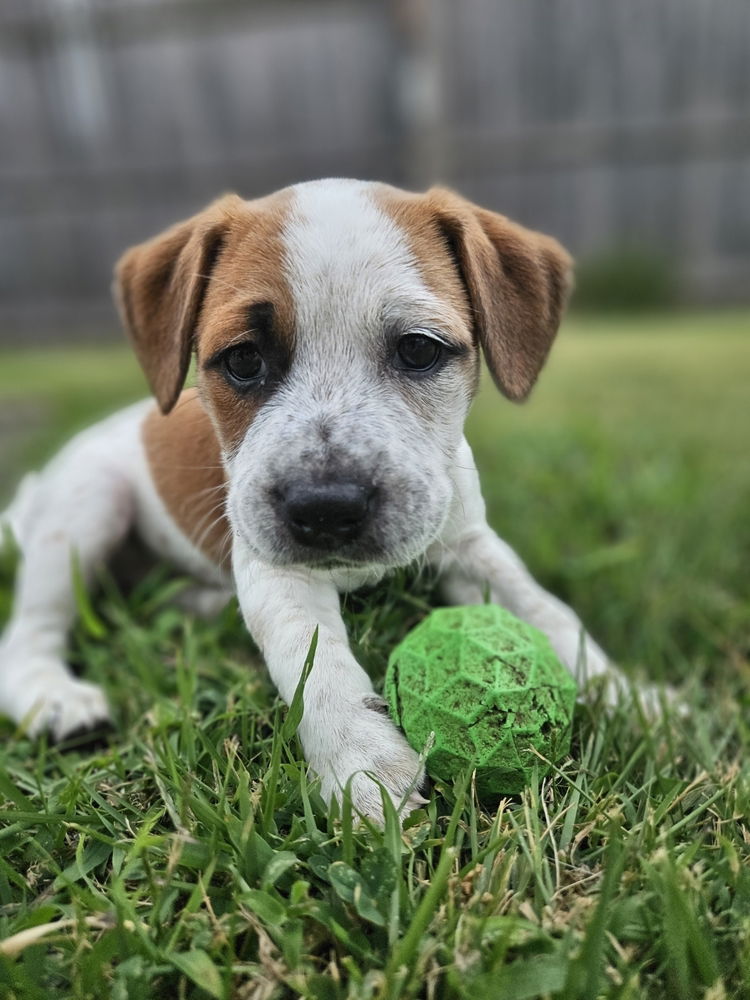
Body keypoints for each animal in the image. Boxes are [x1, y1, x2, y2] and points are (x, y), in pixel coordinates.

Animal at [0, 180, 616, 820]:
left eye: (419, 350)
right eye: (243, 359)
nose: (327, 509)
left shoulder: (472, 546)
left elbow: (549, 613)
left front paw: (632, 701)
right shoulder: (273, 569)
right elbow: (311, 656)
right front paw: (364, 760)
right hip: (86, 510)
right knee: (28, 634)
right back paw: (54, 697)